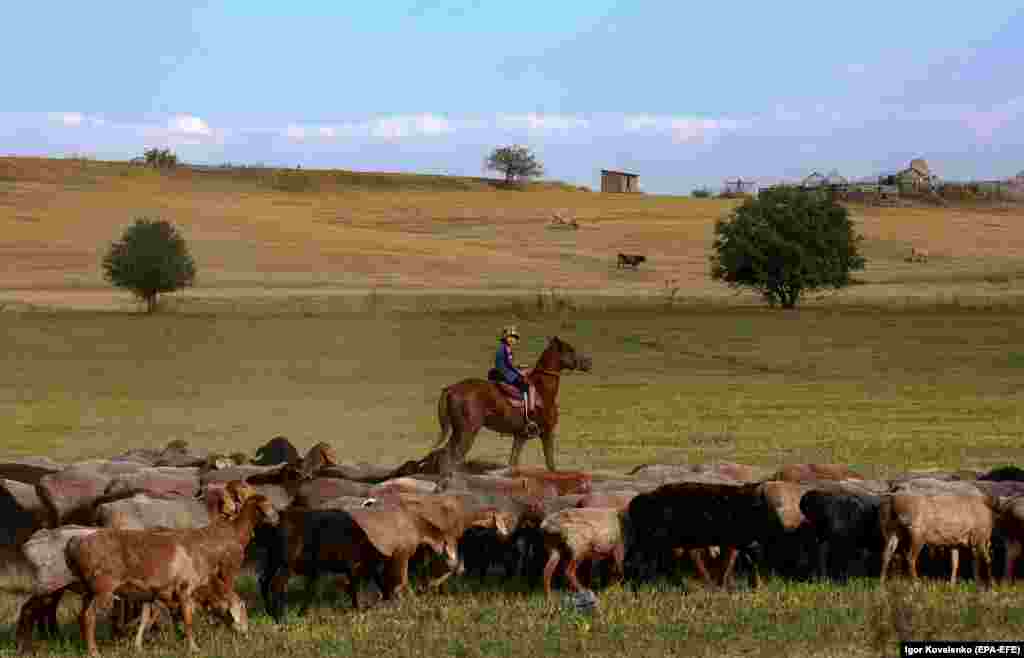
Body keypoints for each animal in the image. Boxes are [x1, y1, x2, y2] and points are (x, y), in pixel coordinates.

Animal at [430, 339, 593, 472]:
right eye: (570, 350)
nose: (588, 363)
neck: (543, 390)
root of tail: (451, 388)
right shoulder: (547, 433)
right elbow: (550, 465)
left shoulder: (520, 436)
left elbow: (513, 463)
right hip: (467, 432)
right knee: (451, 458)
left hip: (458, 432)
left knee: (445, 455)